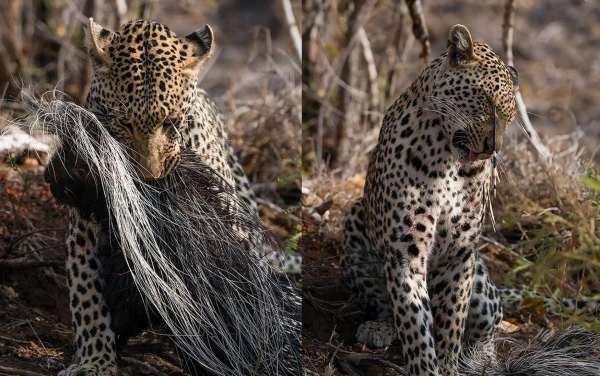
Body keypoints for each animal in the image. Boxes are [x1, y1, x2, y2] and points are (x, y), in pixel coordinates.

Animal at [54, 18, 300, 376]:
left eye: (170, 123)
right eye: (123, 123)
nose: (149, 177)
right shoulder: (84, 221)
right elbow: (87, 296)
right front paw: (94, 361)